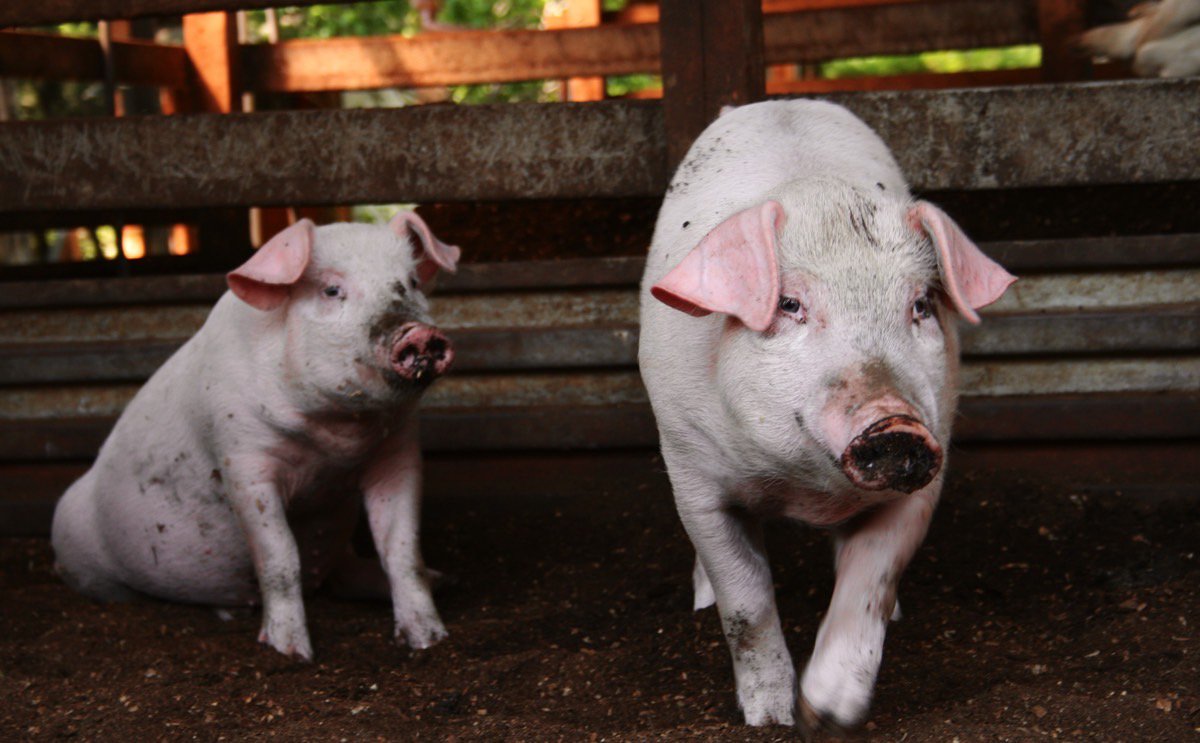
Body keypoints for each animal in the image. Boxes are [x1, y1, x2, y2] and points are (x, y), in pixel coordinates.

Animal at [51, 212, 460, 661]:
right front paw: (291, 653)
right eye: (331, 290)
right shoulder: (243, 460)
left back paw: (443, 580)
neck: (337, 436)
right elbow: (279, 556)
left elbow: (402, 550)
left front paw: (430, 640)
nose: (418, 333)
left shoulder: (397, 455)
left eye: (411, 282)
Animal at [637, 100, 1015, 730]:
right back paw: (701, 600)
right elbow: (746, 602)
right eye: (790, 304)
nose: (895, 423)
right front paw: (771, 719)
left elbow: (870, 581)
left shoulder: (923, 479)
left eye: (920, 305)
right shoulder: (693, 473)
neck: (803, 491)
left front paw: (830, 713)